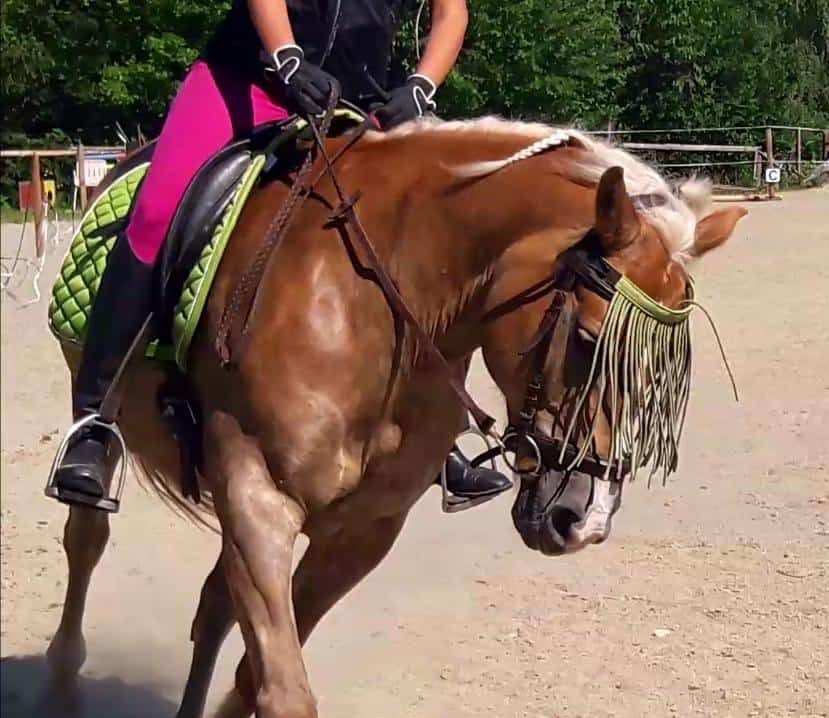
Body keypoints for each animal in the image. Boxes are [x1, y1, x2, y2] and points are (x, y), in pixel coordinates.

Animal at [43, 117, 746, 717]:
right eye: (588, 340)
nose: (584, 520)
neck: (374, 308)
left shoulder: (363, 530)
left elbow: (252, 673)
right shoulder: (257, 498)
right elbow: (282, 691)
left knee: (213, 603)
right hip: (101, 415)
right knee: (86, 539)